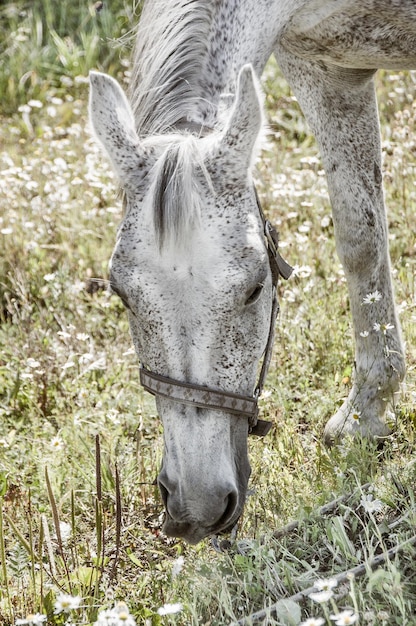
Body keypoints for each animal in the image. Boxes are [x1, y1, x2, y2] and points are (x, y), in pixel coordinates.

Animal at [88, 1, 416, 540]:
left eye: (254, 288)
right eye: (121, 294)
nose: (197, 506)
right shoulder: (327, 72)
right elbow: (360, 236)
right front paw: (365, 413)